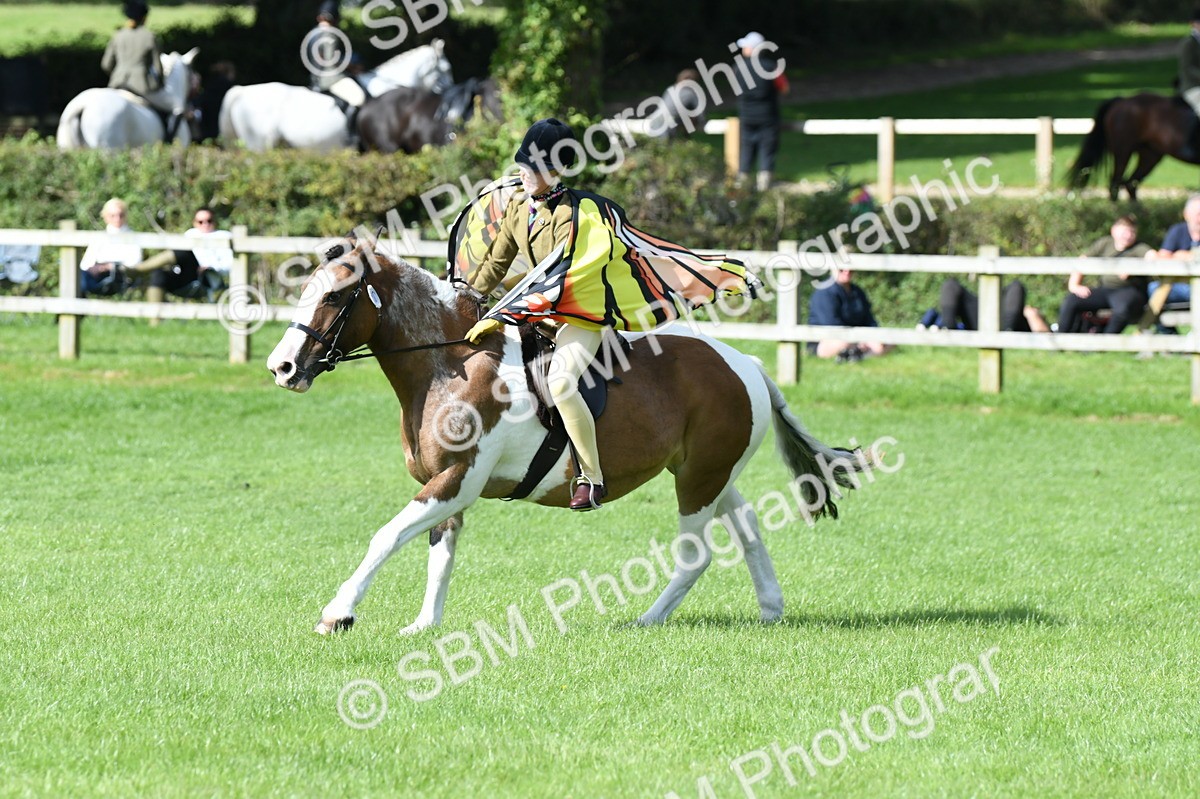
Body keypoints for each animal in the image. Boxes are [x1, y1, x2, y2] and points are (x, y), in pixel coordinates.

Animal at [265, 239, 866, 635]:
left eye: (335, 298)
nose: (282, 368)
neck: (448, 362)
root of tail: (745, 363)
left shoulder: (458, 479)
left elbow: (387, 536)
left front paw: (338, 612)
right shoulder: (446, 485)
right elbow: (440, 552)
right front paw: (425, 625)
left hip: (698, 480)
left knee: (696, 554)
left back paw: (647, 618)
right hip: (708, 472)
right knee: (747, 527)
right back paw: (770, 608)